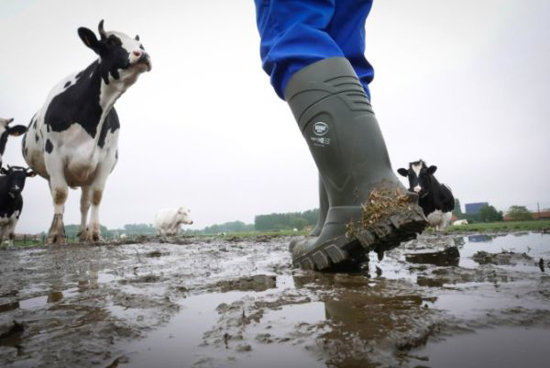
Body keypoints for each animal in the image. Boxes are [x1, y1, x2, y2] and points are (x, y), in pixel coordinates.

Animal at [21, 20, 152, 244]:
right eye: (110, 42)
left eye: (140, 45)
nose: (142, 55)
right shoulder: (53, 155)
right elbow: (60, 194)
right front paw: (56, 235)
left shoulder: (105, 159)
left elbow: (96, 196)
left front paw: (95, 234)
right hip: (50, 173)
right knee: (59, 198)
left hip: (85, 176)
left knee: (84, 203)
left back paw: (83, 233)